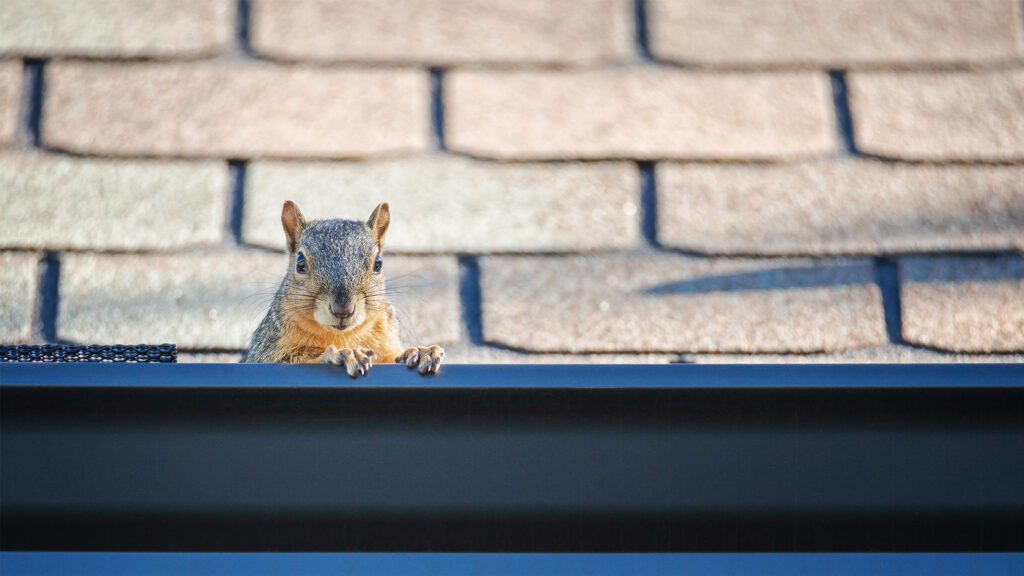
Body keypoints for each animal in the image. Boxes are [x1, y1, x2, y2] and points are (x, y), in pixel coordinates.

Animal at [245, 200, 444, 377]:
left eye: (378, 263)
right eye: (300, 263)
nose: (342, 310)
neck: (342, 335)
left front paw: (419, 352)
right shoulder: (266, 351)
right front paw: (345, 353)